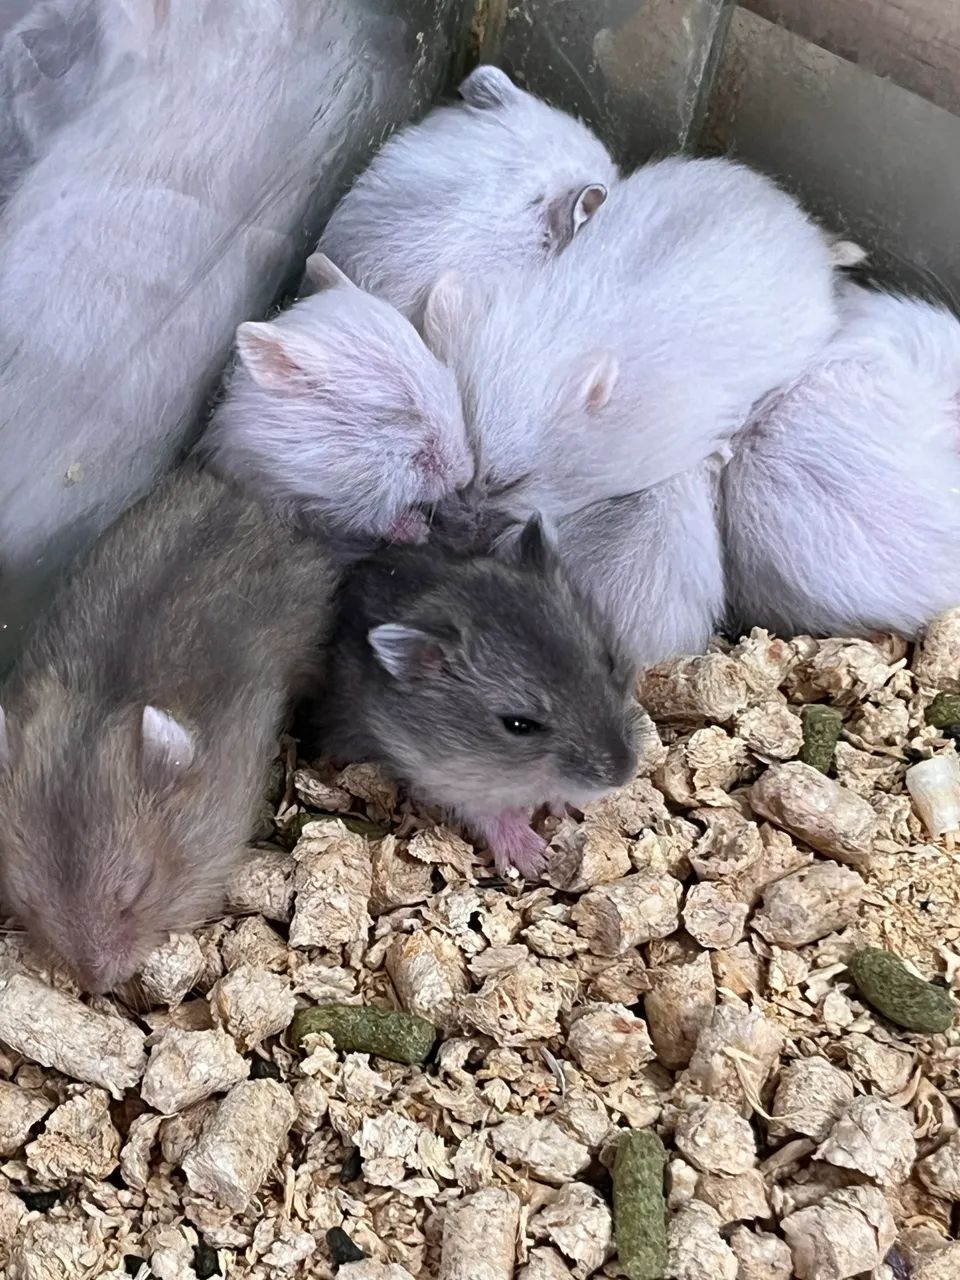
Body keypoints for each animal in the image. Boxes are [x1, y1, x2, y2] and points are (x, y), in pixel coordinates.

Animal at [303, 515, 640, 880]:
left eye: (609, 661)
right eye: (519, 725)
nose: (624, 774)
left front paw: (565, 806)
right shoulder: (445, 778)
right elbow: (491, 813)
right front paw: (536, 860)